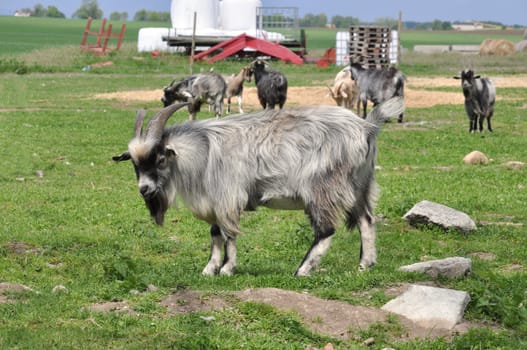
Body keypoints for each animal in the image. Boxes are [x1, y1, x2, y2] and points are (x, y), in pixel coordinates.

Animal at [114, 98, 404, 276]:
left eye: (160, 158)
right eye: (135, 165)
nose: (144, 189)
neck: (203, 152)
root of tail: (367, 127)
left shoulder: (228, 197)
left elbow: (228, 234)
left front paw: (227, 269)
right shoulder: (215, 200)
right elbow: (215, 233)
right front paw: (209, 269)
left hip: (323, 187)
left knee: (326, 230)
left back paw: (302, 270)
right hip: (359, 184)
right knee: (366, 220)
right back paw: (365, 264)